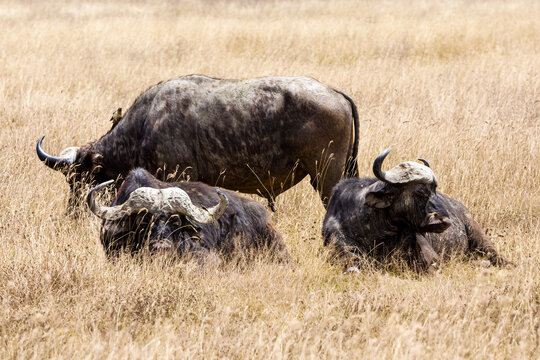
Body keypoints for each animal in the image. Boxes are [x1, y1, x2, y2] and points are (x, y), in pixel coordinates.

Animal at [37, 74, 358, 212]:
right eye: (71, 180)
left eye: (81, 179)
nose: (72, 213)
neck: (146, 124)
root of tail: (335, 92)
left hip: (326, 177)